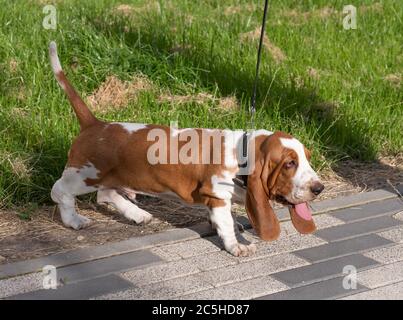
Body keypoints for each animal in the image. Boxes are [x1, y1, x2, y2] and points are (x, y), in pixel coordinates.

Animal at [48, 42, 326, 258]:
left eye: (307, 158)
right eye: (289, 163)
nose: (319, 188)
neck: (242, 153)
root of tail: (95, 124)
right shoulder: (217, 196)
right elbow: (226, 224)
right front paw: (237, 246)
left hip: (114, 176)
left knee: (105, 194)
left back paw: (137, 214)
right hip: (84, 175)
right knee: (60, 190)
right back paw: (74, 220)